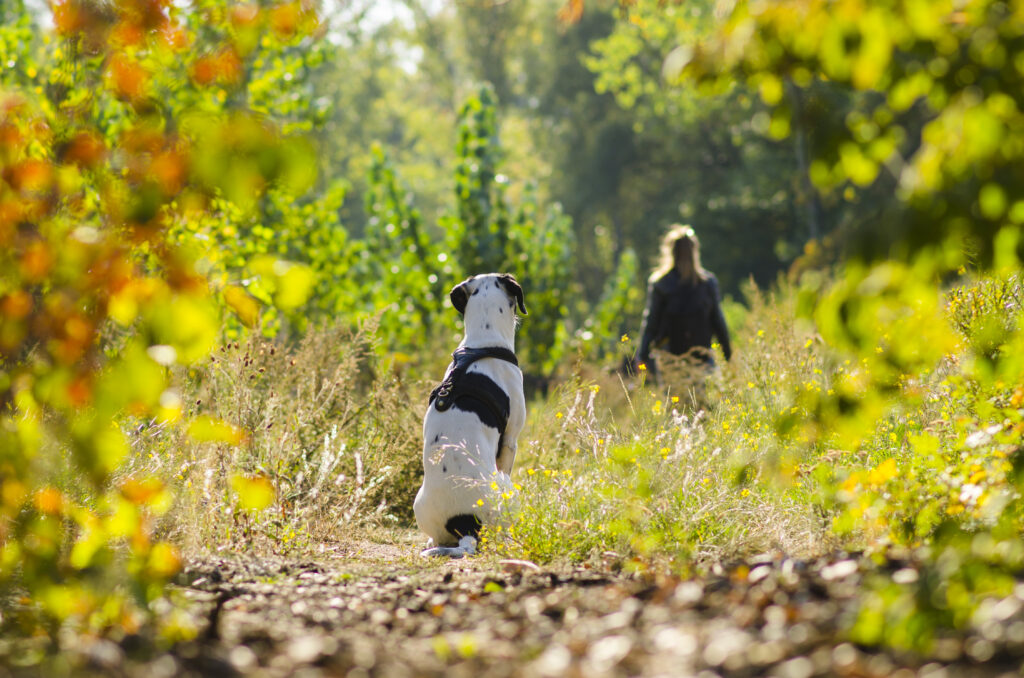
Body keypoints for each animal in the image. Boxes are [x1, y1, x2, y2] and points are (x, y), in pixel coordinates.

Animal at [413, 274, 528, 561]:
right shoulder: (510, 440)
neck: (483, 344)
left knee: (437, 537)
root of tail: (466, 525)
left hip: (420, 504)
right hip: (509, 488)